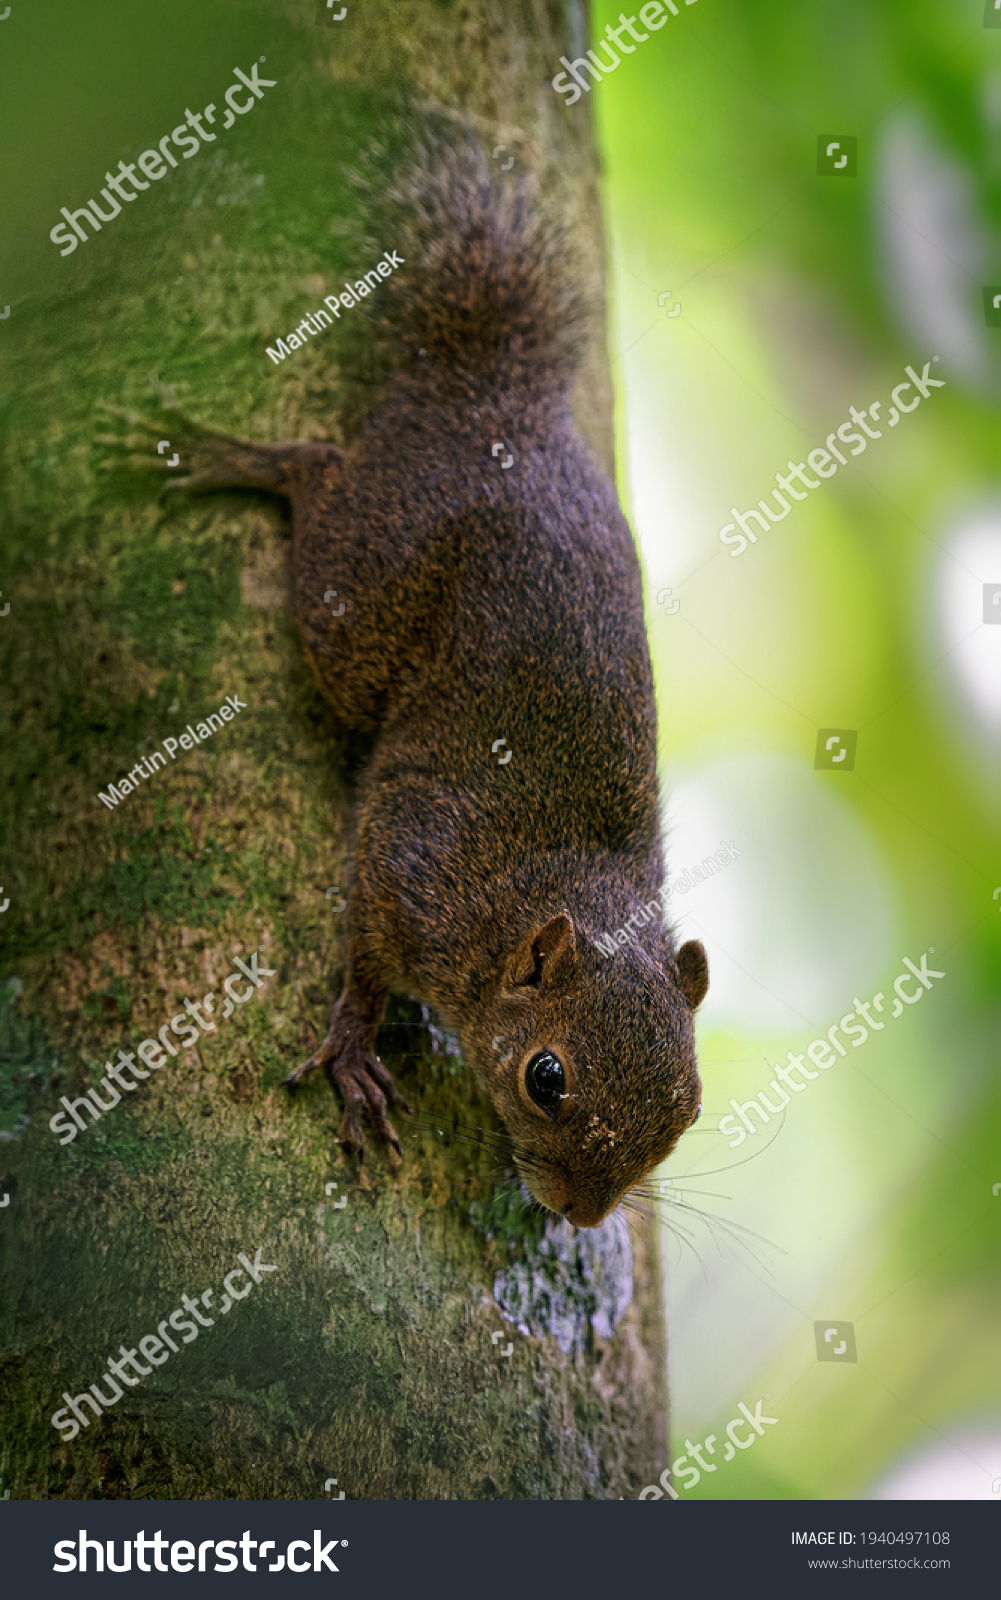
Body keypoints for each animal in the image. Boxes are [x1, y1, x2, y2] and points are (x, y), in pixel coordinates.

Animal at [107, 144, 700, 1228]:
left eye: (685, 1106)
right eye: (545, 1078)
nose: (580, 1216)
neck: (538, 897)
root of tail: (491, 400)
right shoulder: (413, 871)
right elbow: (365, 954)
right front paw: (352, 1049)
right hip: (360, 591)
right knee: (316, 472)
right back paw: (238, 458)